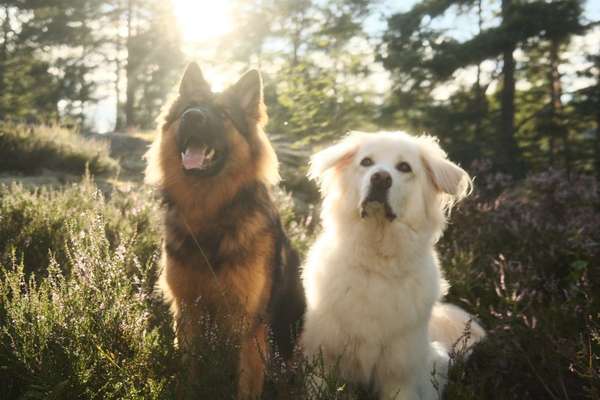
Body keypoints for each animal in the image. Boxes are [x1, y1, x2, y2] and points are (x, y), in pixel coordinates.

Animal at [144, 62, 304, 396]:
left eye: (223, 114)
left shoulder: (249, 325)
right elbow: (190, 372)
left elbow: (246, 386)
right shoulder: (187, 312)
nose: (193, 117)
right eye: (188, 109)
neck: (208, 215)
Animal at [302, 131, 486, 400]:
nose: (380, 178)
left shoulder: (399, 374)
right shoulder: (322, 358)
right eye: (366, 162)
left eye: (404, 167)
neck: (377, 261)